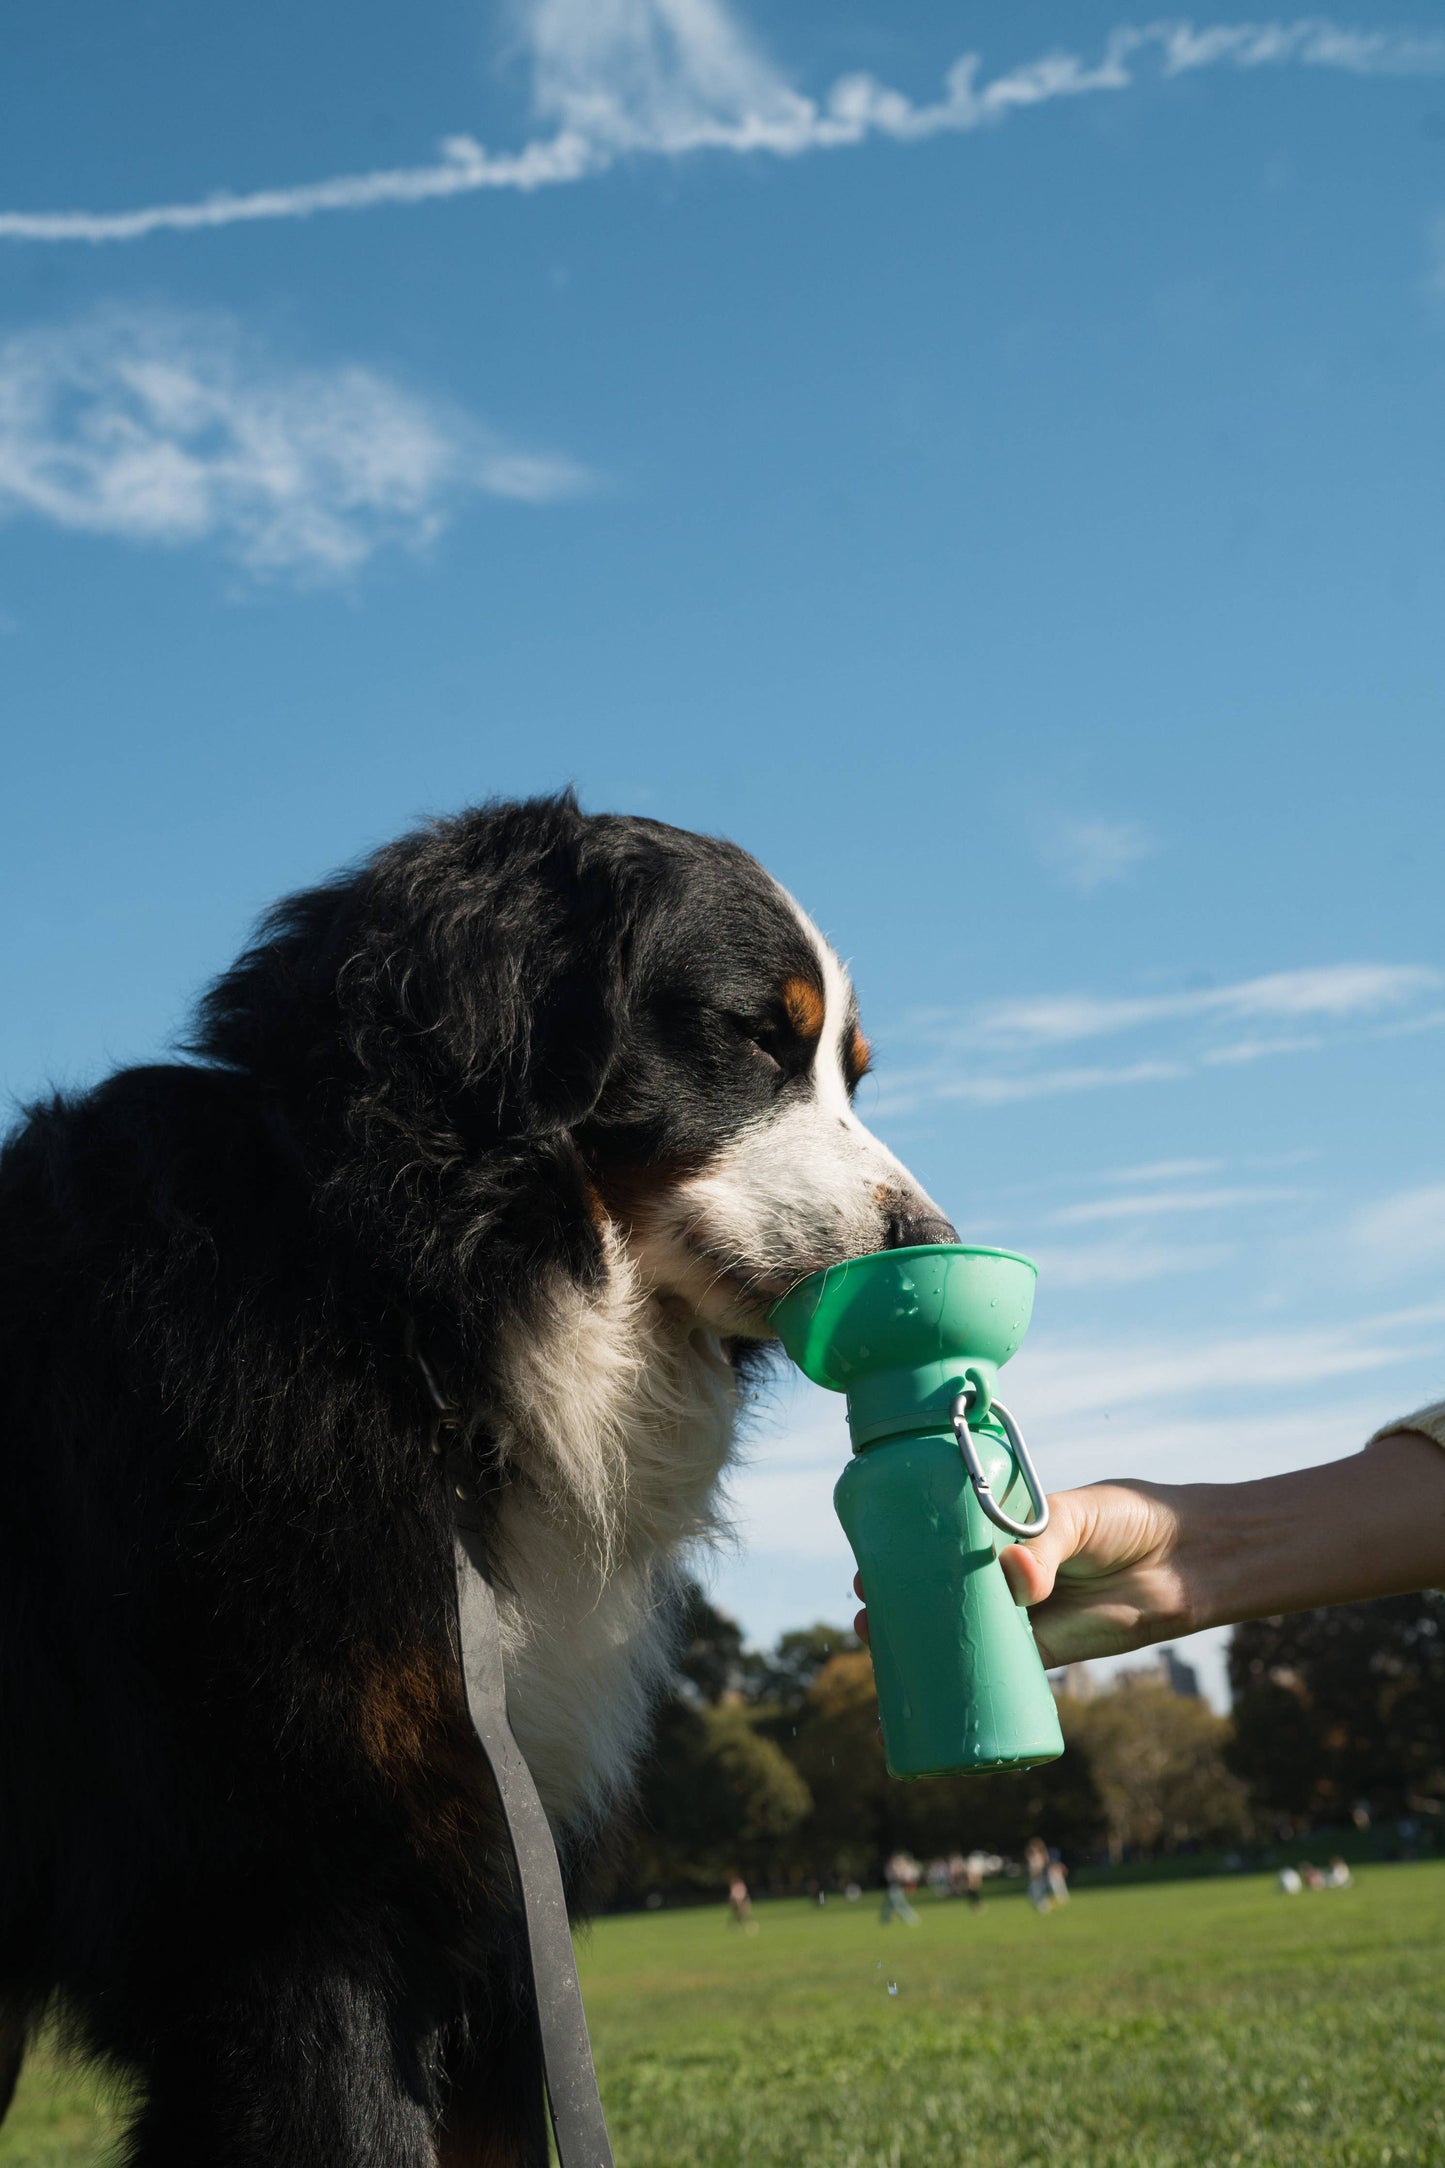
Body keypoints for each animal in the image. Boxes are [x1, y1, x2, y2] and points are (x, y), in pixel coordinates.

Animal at [2, 802, 961, 2168]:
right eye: (749, 1033)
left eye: (852, 1070)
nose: (934, 1242)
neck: (409, 1326)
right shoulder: (303, 1896)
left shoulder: (500, 1894)